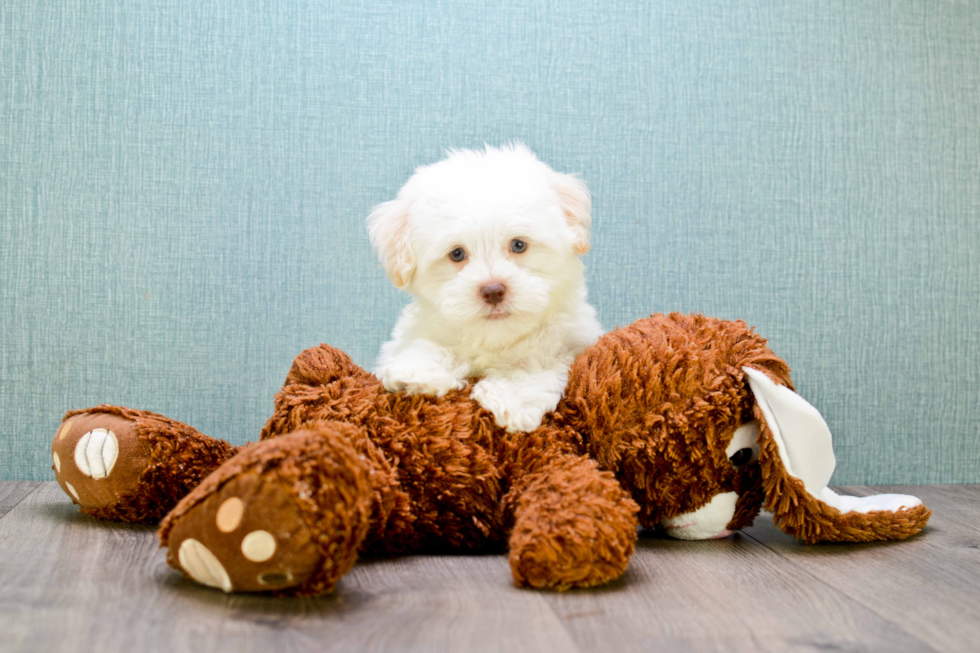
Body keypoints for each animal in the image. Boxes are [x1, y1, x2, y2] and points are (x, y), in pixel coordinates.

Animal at [368, 145, 600, 430]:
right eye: (457, 254)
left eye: (519, 245)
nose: (493, 290)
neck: (493, 339)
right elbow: (427, 345)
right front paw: (416, 371)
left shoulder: (566, 343)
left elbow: (533, 368)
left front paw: (512, 400)